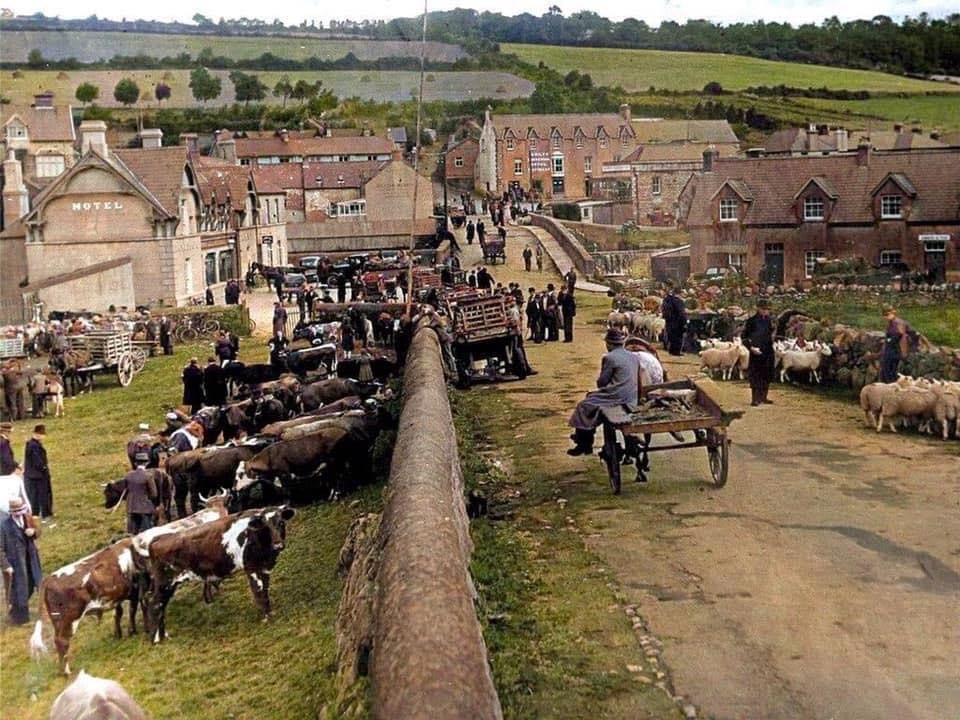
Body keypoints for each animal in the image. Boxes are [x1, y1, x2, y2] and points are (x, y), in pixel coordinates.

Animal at [31, 492, 230, 672]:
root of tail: (48, 578)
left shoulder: (134, 591)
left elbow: (131, 611)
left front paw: (131, 631)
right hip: (68, 620)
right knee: (62, 642)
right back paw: (66, 671)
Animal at [133, 504, 294, 644]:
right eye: (265, 526)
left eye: (281, 523)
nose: (278, 545)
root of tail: (155, 540)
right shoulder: (252, 568)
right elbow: (259, 593)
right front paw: (267, 619)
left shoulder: (264, 568)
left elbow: (265, 592)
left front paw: (270, 615)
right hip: (164, 583)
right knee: (155, 604)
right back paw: (156, 639)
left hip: (166, 584)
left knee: (157, 604)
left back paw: (163, 635)